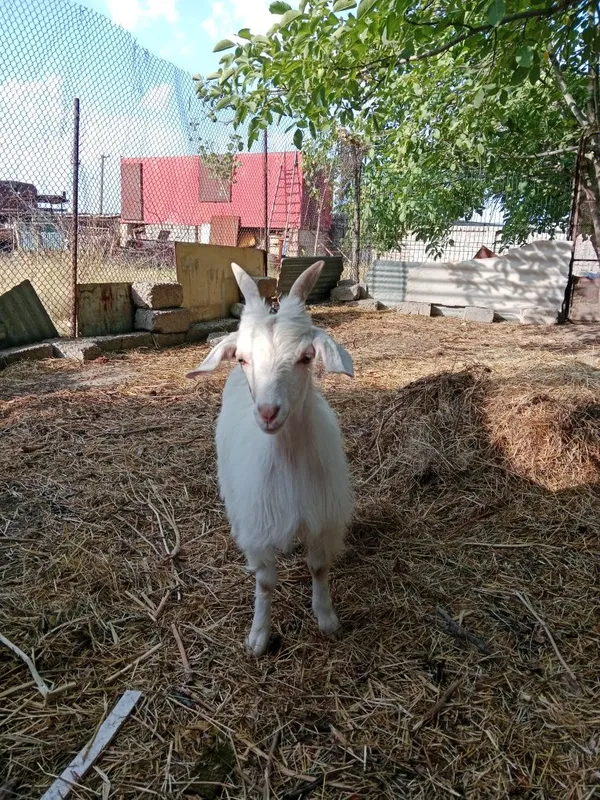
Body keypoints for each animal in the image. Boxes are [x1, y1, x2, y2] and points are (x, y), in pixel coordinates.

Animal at [186, 260, 354, 655]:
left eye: (307, 357)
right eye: (243, 358)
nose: (267, 412)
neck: (287, 457)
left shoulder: (321, 518)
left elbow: (319, 569)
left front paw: (326, 618)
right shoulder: (260, 527)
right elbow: (265, 584)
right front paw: (259, 636)